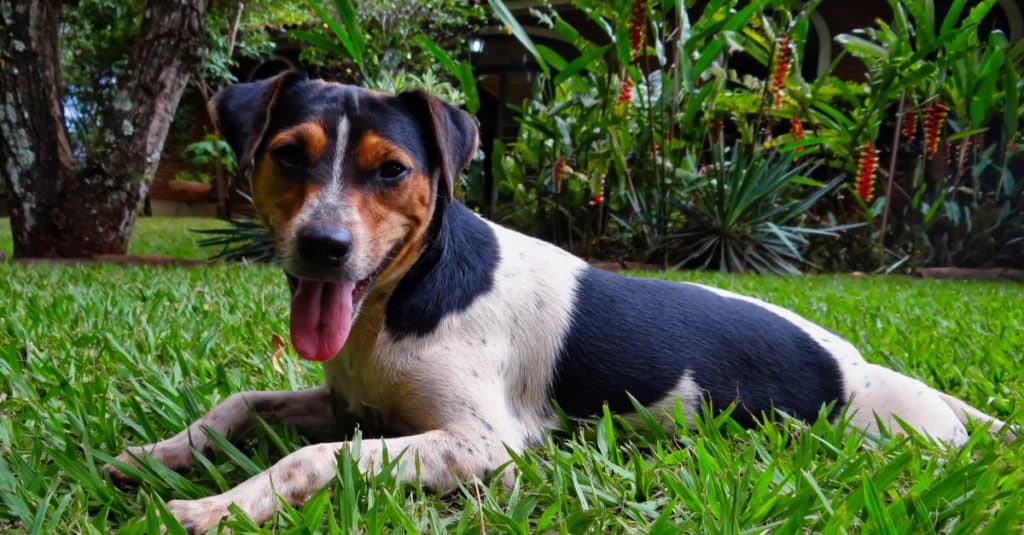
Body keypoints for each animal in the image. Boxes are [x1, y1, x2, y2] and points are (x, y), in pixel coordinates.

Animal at [105, 70, 1007, 528]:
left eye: (391, 170)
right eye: (289, 155)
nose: (324, 246)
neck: (410, 295)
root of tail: (872, 371)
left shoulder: (483, 443)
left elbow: (311, 458)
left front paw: (220, 504)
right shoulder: (350, 400)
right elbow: (242, 402)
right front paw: (156, 453)